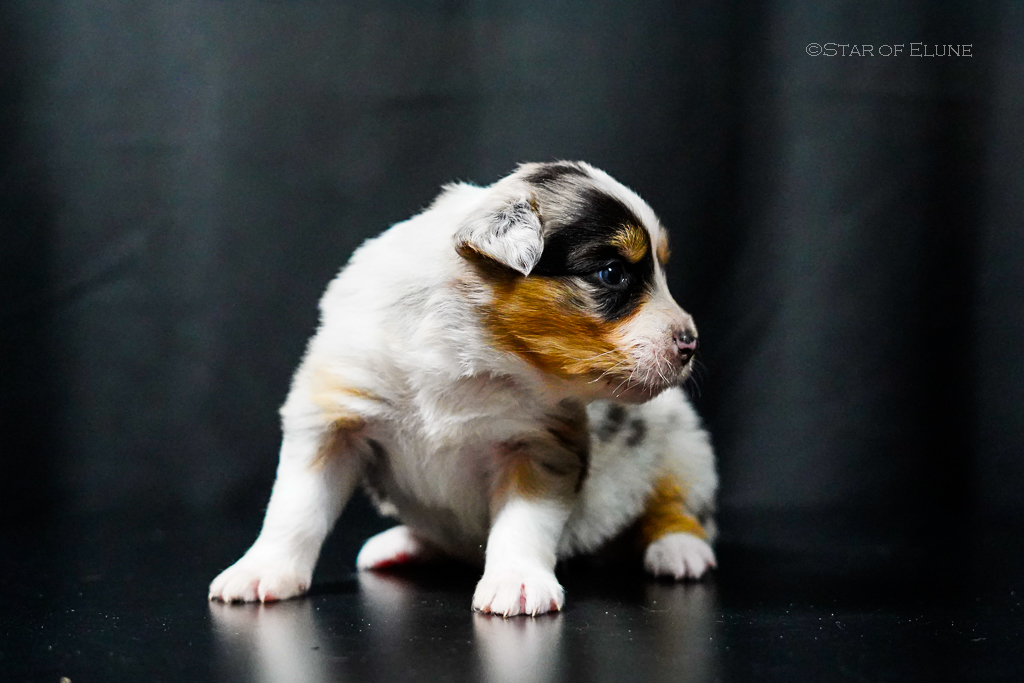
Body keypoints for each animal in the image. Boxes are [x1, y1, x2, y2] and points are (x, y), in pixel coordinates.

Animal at [208, 161, 717, 616]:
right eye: (612, 274)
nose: (691, 341)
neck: (469, 353)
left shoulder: (540, 443)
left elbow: (524, 520)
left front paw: (517, 584)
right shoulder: (333, 417)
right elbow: (296, 507)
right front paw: (260, 573)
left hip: (681, 447)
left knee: (676, 506)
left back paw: (679, 550)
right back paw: (400, 544)